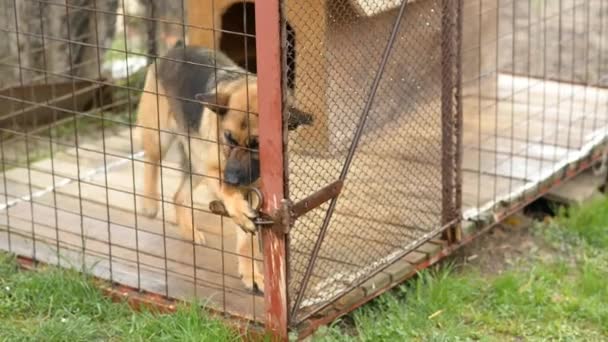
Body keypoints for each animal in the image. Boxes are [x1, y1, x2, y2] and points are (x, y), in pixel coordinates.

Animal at [135, 44, 312, 292]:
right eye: (229, 138)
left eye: (256, 145)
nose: (232, 178)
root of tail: (176, 48)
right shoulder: (214, 171)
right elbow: (228, 195)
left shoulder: (254, 193)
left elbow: (247, 240)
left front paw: (250, 274)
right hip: (161, 138)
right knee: (151, 161)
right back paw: (150, 203)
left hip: (196, 165)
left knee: (178, 196)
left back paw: (189, 231)